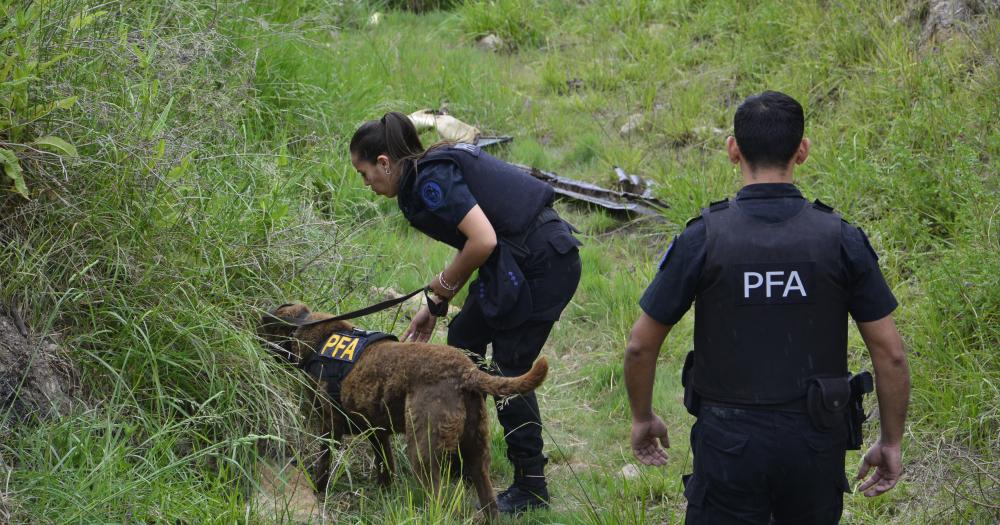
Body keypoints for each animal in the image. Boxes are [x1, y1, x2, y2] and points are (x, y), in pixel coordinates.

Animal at [256, 300, 548, 516]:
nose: (251, 336)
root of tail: (466, 371)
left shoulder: (329, 427)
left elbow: (323, 467)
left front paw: (319, 492)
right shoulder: (378, 432)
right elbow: (385, 467)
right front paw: (384, 495)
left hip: (422, 451)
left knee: (436, 501)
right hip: (477, 450)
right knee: (488, 500)